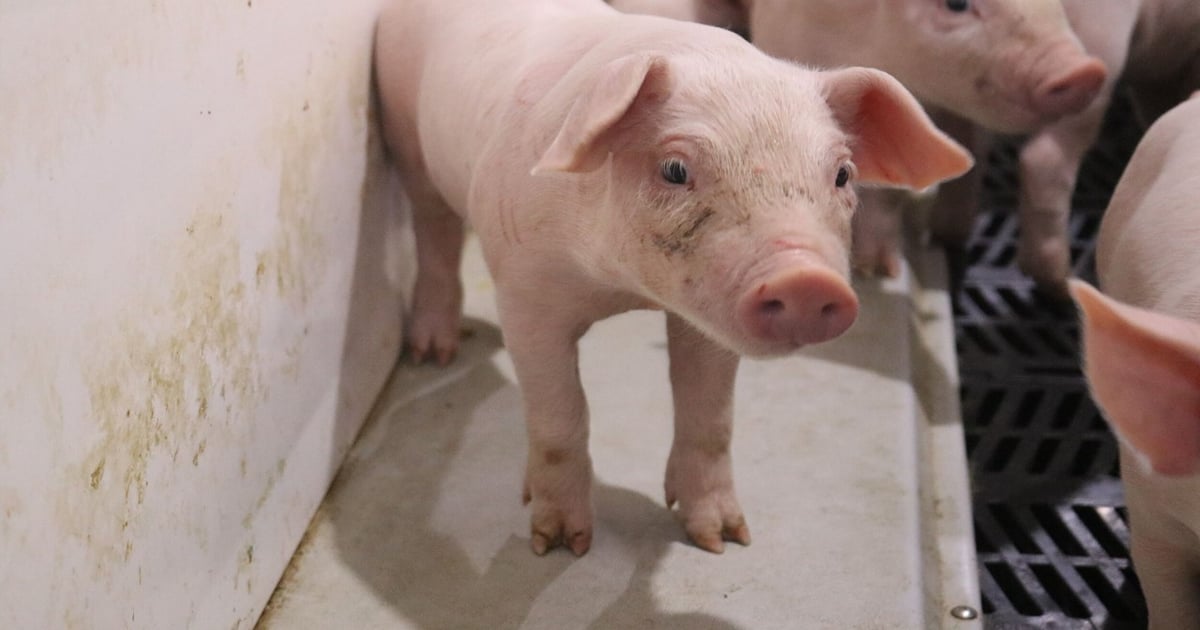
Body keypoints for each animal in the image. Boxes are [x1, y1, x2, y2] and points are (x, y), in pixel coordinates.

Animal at [375, 0, 972, 556]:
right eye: (675, 169)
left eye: (842, 174)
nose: (805, 280)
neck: (622, 289)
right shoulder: (525, 295)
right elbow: (560, 417)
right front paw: (561, 545)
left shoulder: (707, 323)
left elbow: (710, 416)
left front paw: (725, 540)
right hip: (405, 133)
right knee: (433, 228)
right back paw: (434, 354)